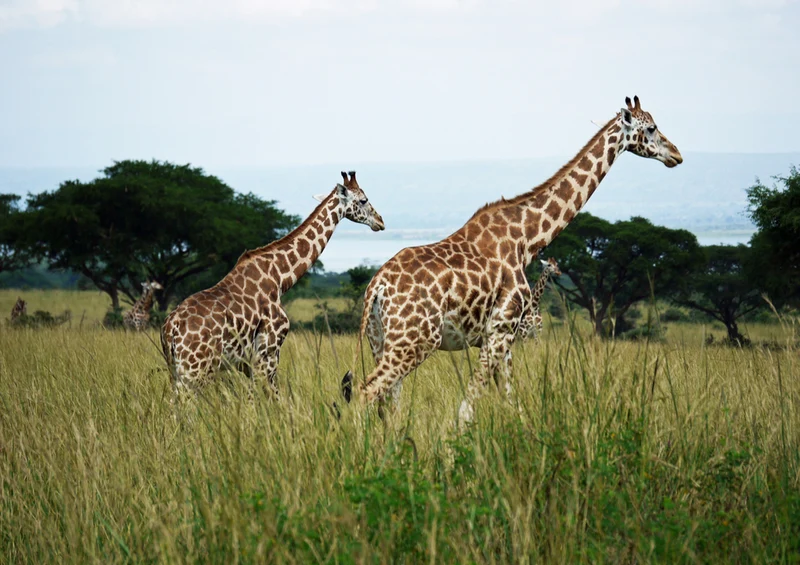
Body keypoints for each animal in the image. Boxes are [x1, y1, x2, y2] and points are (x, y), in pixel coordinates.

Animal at [161, 171, 385, 400]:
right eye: (363, 200)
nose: (380, 221)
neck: (279, 277)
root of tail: (170, 329)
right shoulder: (269, 351)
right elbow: (274, 398)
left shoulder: (248, 362)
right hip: (195, 368)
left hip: (176, 369)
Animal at [340, 96, 682, 424]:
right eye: (651, 128)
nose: (677, 155)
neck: (526, 239)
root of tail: (377, 286)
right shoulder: (500, 330)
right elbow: (467, 409)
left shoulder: (502, 339)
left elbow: (510, 402)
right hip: (415, 340)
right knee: (365, 393)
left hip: (381, 340)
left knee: (388, 405)